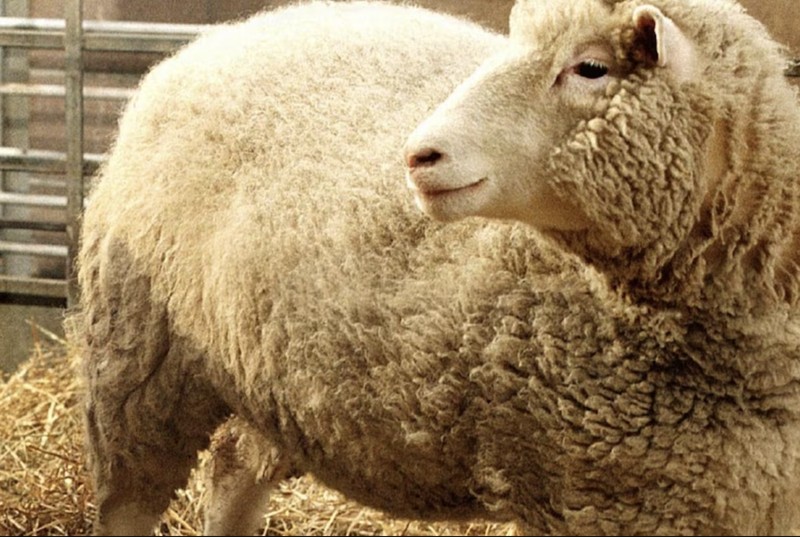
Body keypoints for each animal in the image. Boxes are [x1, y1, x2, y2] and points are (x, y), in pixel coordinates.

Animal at [74, 0, 800, 536]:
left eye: (591, 67)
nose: (418, 155)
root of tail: (211, 42)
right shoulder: (593, 495)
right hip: (139, 357)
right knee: (128, 499)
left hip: (270, 372)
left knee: (231, 468)